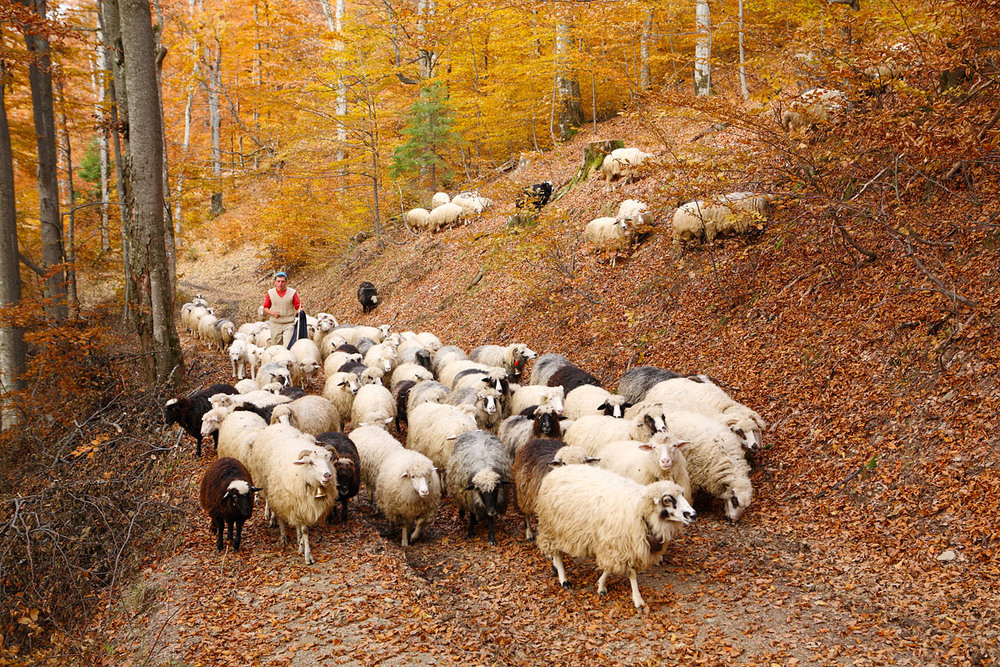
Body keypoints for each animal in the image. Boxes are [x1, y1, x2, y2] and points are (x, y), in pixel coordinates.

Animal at [536, 464, 692, 612]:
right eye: (667, 499)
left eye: (682, 495)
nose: (692, 514)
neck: (640, 509)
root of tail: (557, 470)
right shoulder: (621, 544)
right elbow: (631, 573)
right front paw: (637, 599)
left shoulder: (618, 546)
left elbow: (610, 568)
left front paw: (601, 585)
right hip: (551, 527)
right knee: (556, 553)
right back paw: (563, 578)